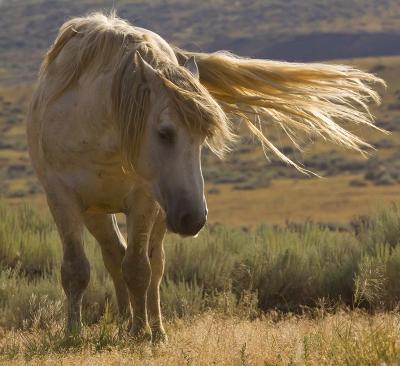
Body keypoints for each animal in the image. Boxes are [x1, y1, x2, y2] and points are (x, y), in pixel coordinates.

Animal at [26, 11, 386, 342]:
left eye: (202, 139)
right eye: (164, 132)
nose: (194, 218)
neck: (95, 128)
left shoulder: (144, 200)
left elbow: (139, 269)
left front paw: (142, 333)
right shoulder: (62, 197)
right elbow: (76, 270)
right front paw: (73, 334)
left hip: (155, 212)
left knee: (151, 265)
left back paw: (151, 328)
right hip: (99, 211)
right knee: (115, 254)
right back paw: (124, 321)